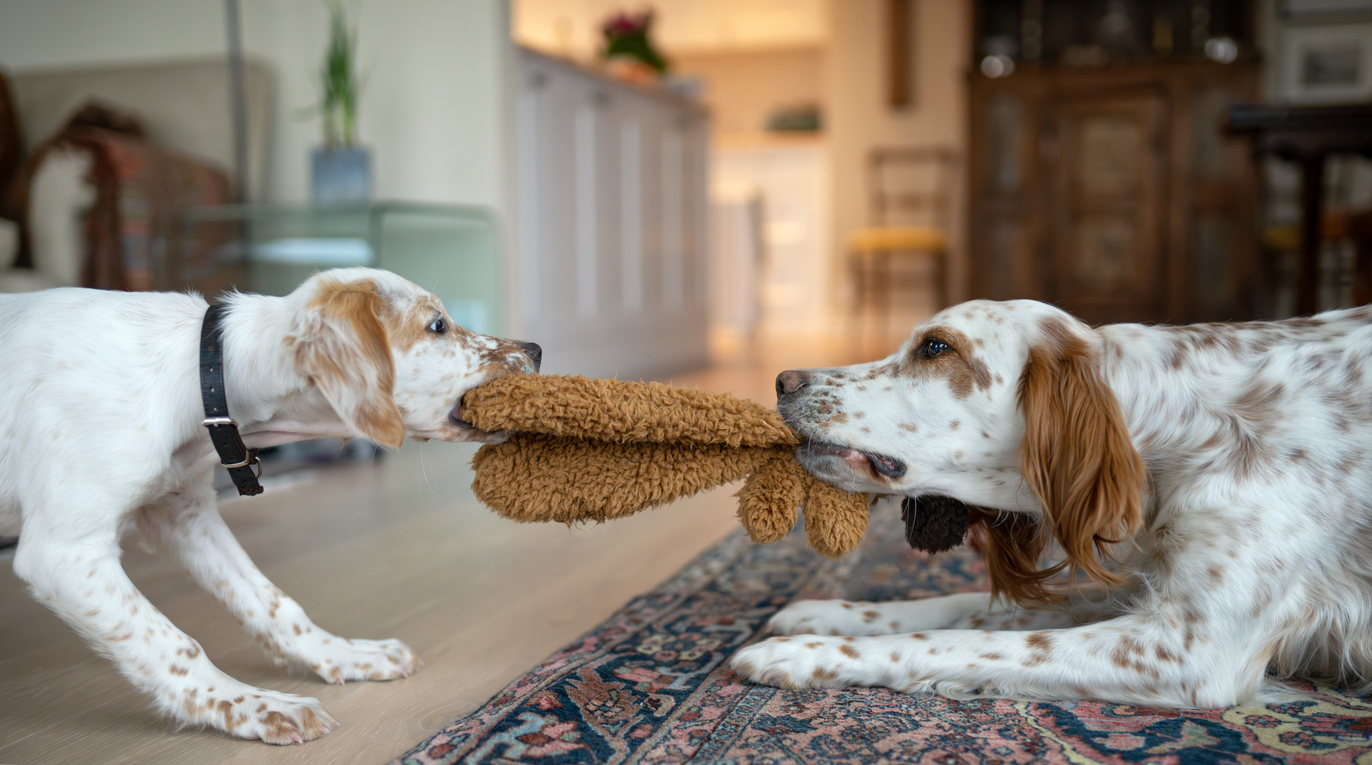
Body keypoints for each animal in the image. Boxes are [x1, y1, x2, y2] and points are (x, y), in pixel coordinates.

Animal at [0, 270, 537, 745]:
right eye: (438, 325)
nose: (536, 349)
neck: (199, 377)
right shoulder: (64, 553)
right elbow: (174, 643)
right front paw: (252, 707)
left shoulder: (181, 512)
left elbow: (272, 601)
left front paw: (344, 655)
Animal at [729, 302, 1372, 712]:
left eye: (936, 347)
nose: (784, 380)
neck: (1186, 429)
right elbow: (967, 607)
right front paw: (823, 614)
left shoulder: (1191, 648)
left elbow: (959, 642)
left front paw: (803, 655)